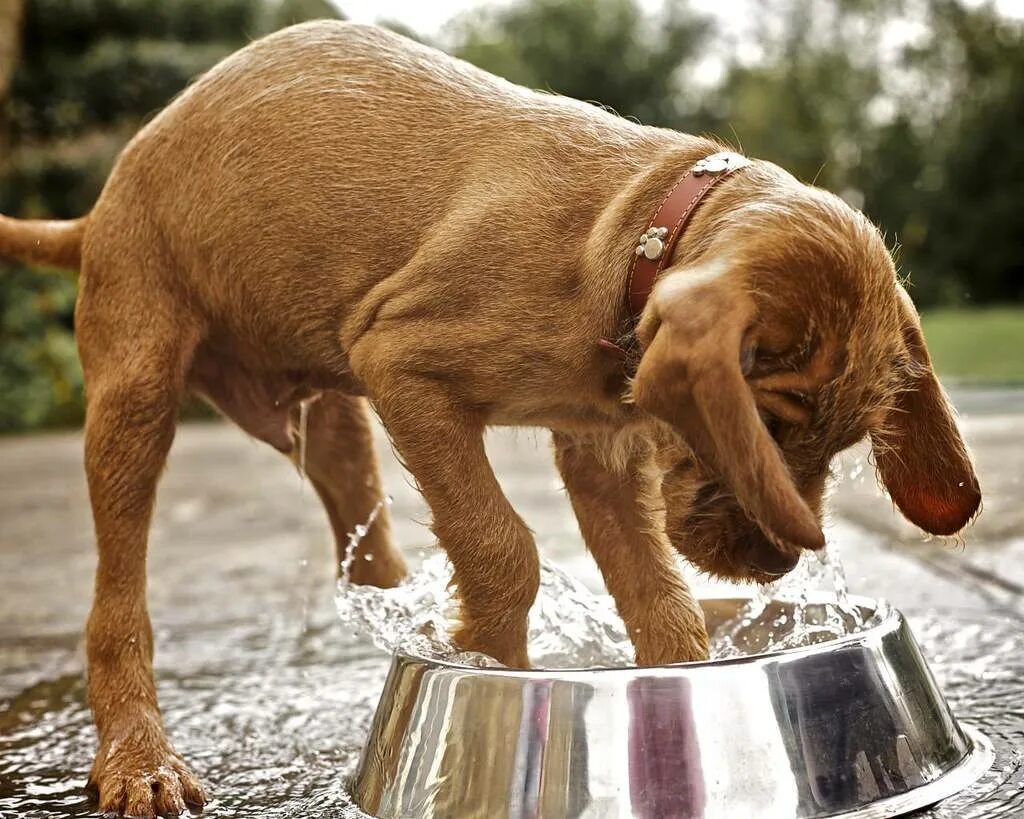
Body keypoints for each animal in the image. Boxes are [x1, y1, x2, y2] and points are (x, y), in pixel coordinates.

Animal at [0, 22, 978, 814]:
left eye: (840, 444)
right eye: (765, 428)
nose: (774, 561)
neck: (631, 230)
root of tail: (96, 212)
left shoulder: (599, 451)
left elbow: (661, 603)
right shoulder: (403, 364)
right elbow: (502, 546)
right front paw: (490, 667)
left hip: (334, 427)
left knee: (373, 553)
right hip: (136, 393)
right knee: (117, 602)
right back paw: (139, 760)